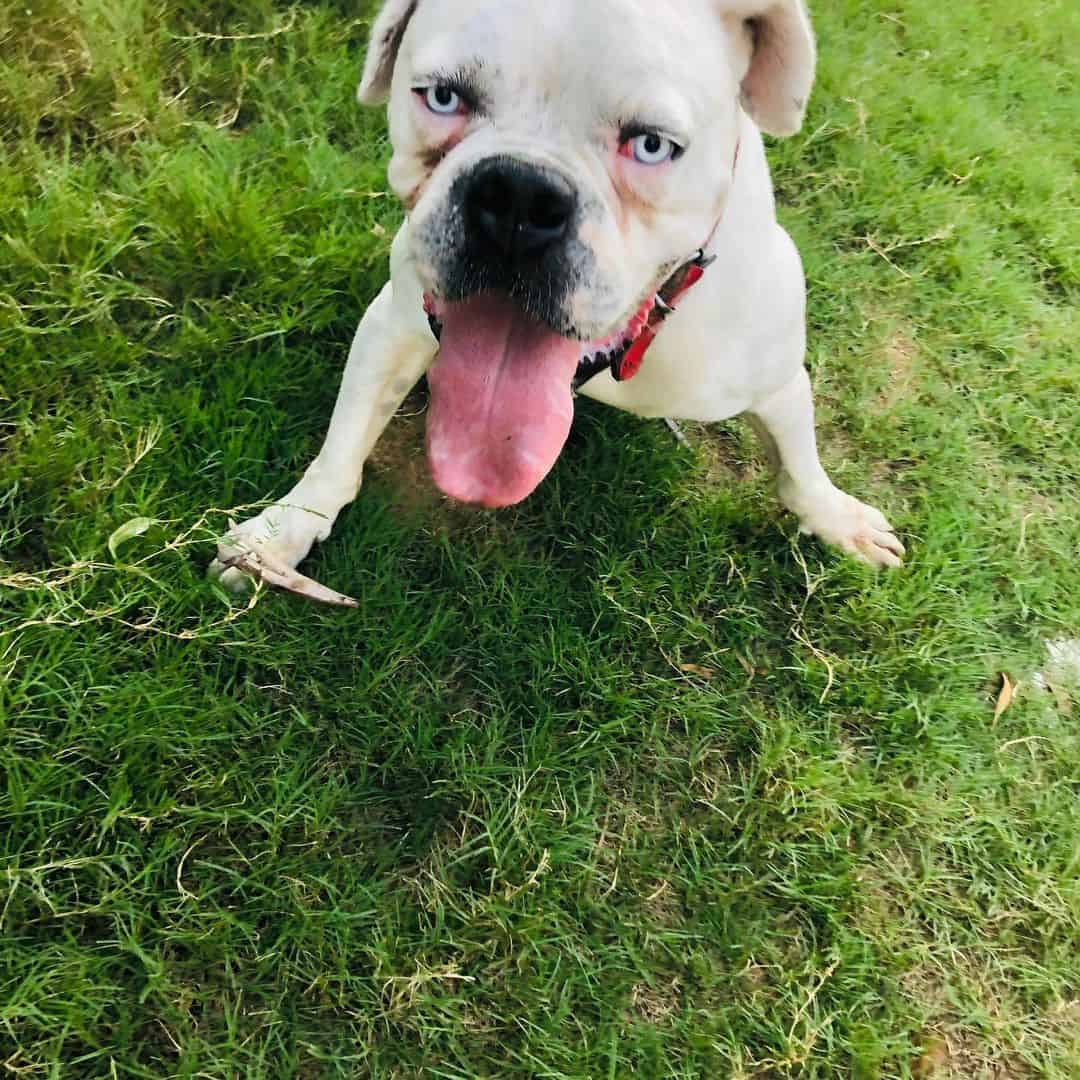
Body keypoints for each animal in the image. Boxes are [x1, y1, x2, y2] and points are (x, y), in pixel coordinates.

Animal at [210, 0, 902, 609]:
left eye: (653, 146)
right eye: (442, 97)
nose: (517, 195)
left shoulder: (776, 382)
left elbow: (800, 465)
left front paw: (835, 517)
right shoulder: (394, 328)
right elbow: (341, 450)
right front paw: (282, 533)